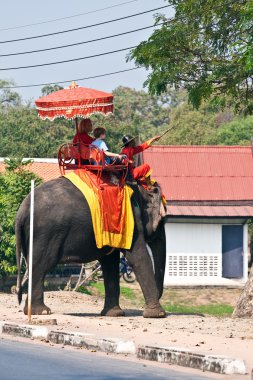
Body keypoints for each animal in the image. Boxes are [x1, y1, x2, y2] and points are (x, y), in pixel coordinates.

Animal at [15, 175, 166, 318]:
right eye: (162, 221)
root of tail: (21, 211)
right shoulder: (131, 220)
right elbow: (138, 257)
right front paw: (157, 315)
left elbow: (110, 263)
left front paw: (114, 314)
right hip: (44, 234)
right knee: (40, 267)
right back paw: (42, 312)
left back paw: (32, 311)